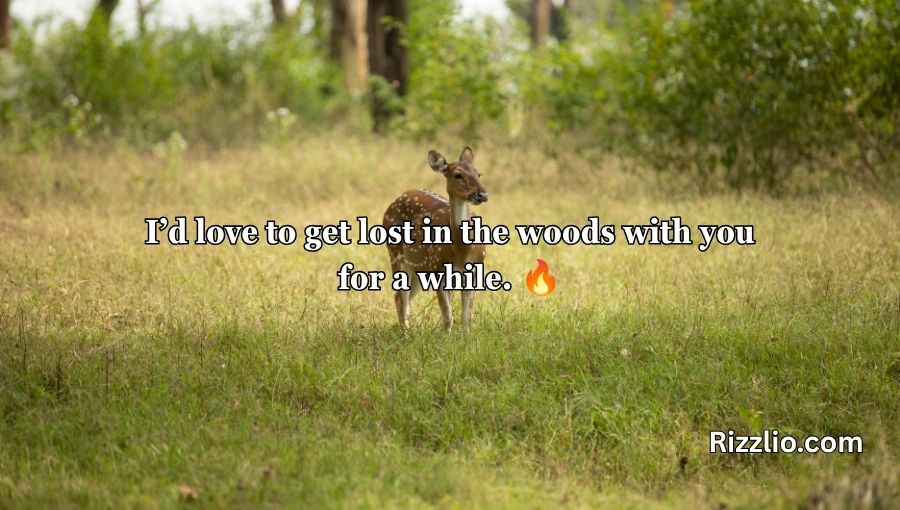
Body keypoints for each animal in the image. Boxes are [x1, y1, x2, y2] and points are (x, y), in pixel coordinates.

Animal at [383, 146, 489, 331]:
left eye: (479, 174)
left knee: (401, 297)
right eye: (458, 175)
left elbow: (466, 318)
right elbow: (447, 317)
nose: (482, 194)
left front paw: (466, 336)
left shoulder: (475, 271)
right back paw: (406, 332)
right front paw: (447, 337)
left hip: (419, 267)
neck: (461, 252)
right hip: (395, 254)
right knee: (400, 296)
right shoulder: (438, 267)